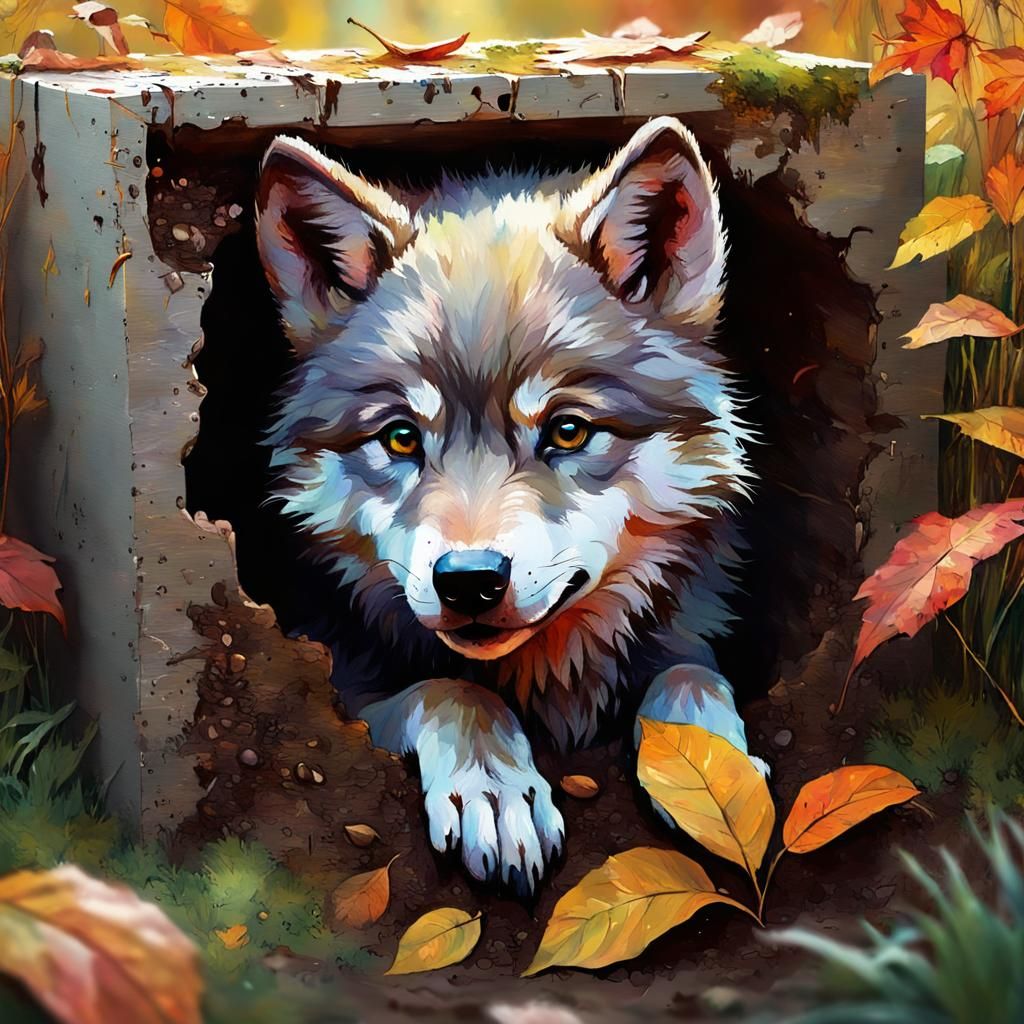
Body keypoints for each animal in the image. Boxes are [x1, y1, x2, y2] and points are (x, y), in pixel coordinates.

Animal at [254, 116, 764, 894]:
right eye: (401, 438)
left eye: (568, 431)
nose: (469, 581)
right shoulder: (346, 689)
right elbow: (455, 692)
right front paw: (496, 791)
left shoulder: (687, 641)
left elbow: (691, 676)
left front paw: (723, 776)